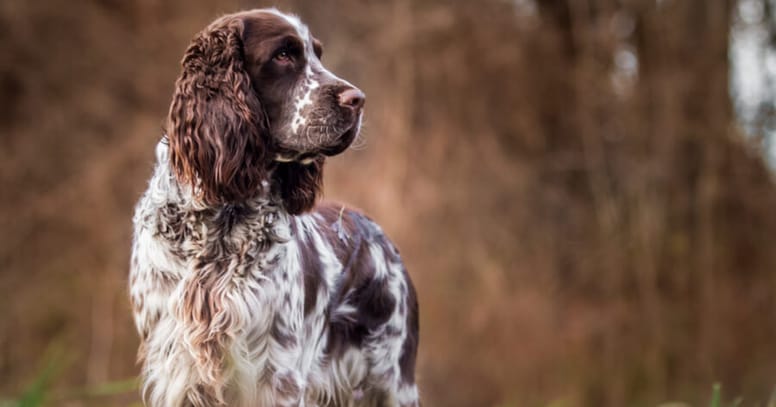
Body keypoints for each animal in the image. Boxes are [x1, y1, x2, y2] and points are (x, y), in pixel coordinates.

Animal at [128, 7, 418, 407]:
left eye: (318, 55)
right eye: (283, 55)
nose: (358, 99)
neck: (219, 220)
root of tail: (377, 232)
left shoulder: (277, 375)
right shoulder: (177, 370)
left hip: (393, 382)